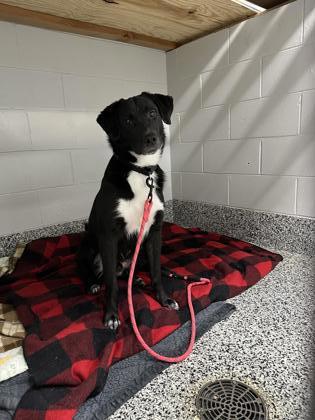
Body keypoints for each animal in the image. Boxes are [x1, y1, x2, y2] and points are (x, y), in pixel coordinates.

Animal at [78, 92, 179, 332]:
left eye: (152, 113)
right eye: (127, 121)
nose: (151, 138)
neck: (141, 172)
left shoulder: (154, 232)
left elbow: (155, 271)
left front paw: (163, 299)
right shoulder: (108, 237)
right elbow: (112, 285)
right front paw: (112, 315)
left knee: (134, 271)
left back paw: (141, 279)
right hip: (89, 247)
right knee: (94, 273)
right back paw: (93, 284)